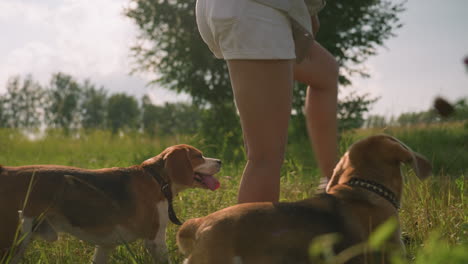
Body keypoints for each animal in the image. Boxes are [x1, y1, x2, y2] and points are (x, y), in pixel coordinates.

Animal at [0, 145, 221, 262]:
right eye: (198, 156)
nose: (220, 161)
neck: (157, 178)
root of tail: (5, 172)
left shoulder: (105, 245)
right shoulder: (155, 240)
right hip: (13, 241)